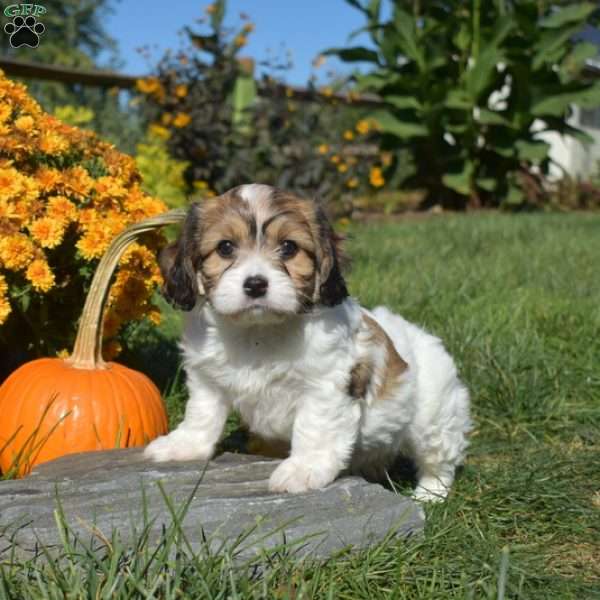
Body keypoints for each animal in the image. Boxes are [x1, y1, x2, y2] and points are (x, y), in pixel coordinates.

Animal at [143, 184, 472, 502]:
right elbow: (202, 413)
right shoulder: (207, 378)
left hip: (435, 415)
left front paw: (302, 470)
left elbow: (313, 428)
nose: (256, 284)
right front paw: (183, 445)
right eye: (225, 247)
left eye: (289, 247)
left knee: (439, 458)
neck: (258, 332)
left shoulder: (325, 386)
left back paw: (429, 494)